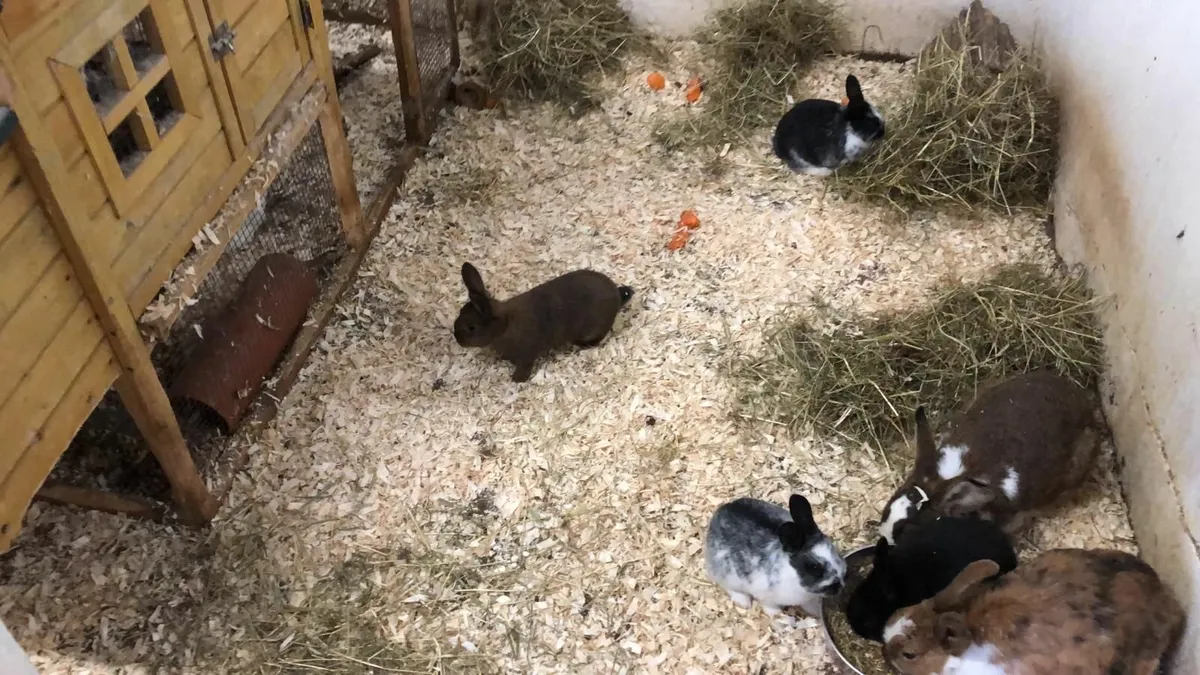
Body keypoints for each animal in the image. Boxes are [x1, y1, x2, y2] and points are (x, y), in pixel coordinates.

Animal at [453, 262, 634, 383]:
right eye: (459, 313)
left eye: (471, 327)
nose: (457, 339)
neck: (505, 325)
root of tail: (617, 297)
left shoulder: (527, 354)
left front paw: (517, 379)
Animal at [704, 494, 847, 623]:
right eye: (814, 567)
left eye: (834, 549)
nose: (839, 586)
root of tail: (721, 511)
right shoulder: (765, 595)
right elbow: (769, 606)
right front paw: (776, 614)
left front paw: (817, 613)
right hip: (727, 576)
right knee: (730, 588)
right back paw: (744, 603)